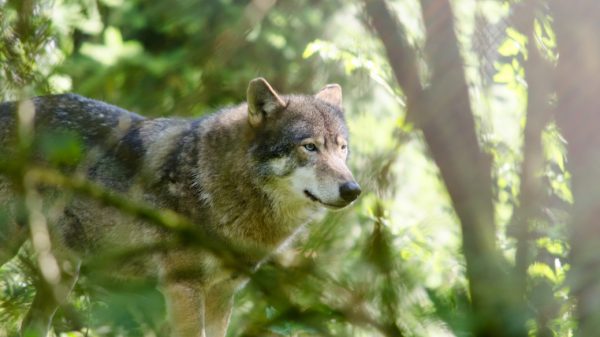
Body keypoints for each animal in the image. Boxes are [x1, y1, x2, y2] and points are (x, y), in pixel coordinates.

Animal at [0, 77, 360, 334]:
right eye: (310, 147)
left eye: (342, 148)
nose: (353, 190)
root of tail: (10, 105)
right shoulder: (183, 288)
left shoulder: (223, 294)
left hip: (63, 271)